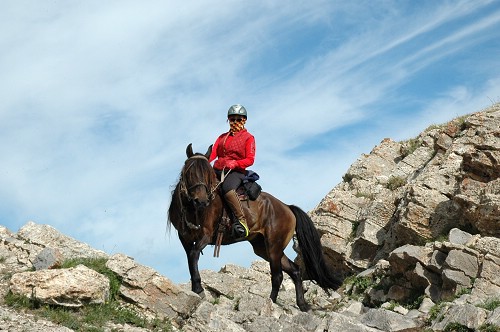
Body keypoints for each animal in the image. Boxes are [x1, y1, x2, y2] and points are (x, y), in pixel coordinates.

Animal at [166, 143, 342, 312]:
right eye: (189, 171)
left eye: (209, 174)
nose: (202, 201)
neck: (192, 210)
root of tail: (287, 207)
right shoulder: (185, 238)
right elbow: (190, 258)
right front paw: (195, 288)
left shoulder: (206, 235)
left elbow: (194, 255)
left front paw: (198, 289)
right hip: (263, 248)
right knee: (295, 270)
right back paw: (302, 305)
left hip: (274, 247)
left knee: (278, 276)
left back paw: (270, 303)